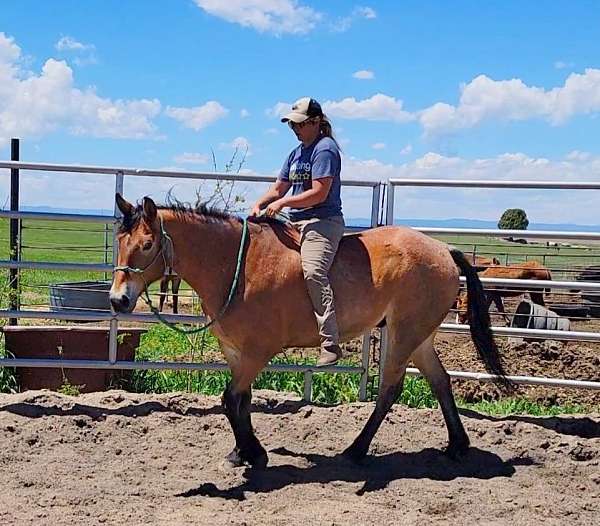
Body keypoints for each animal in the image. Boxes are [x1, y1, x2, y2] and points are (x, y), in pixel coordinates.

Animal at [110, 196, 508, 468]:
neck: (238, 269)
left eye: (147, 244)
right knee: (440, 381)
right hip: (420, 336)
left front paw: (254, 454)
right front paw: (242, 451)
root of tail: (443, 249)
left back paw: (356, 450)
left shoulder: (255, 353)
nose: (117, 299)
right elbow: (242, 401)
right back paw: (457, 445)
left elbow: (229, 399)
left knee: (389, 391)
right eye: (119, 242)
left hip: (404, 334)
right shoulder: (235, 352)